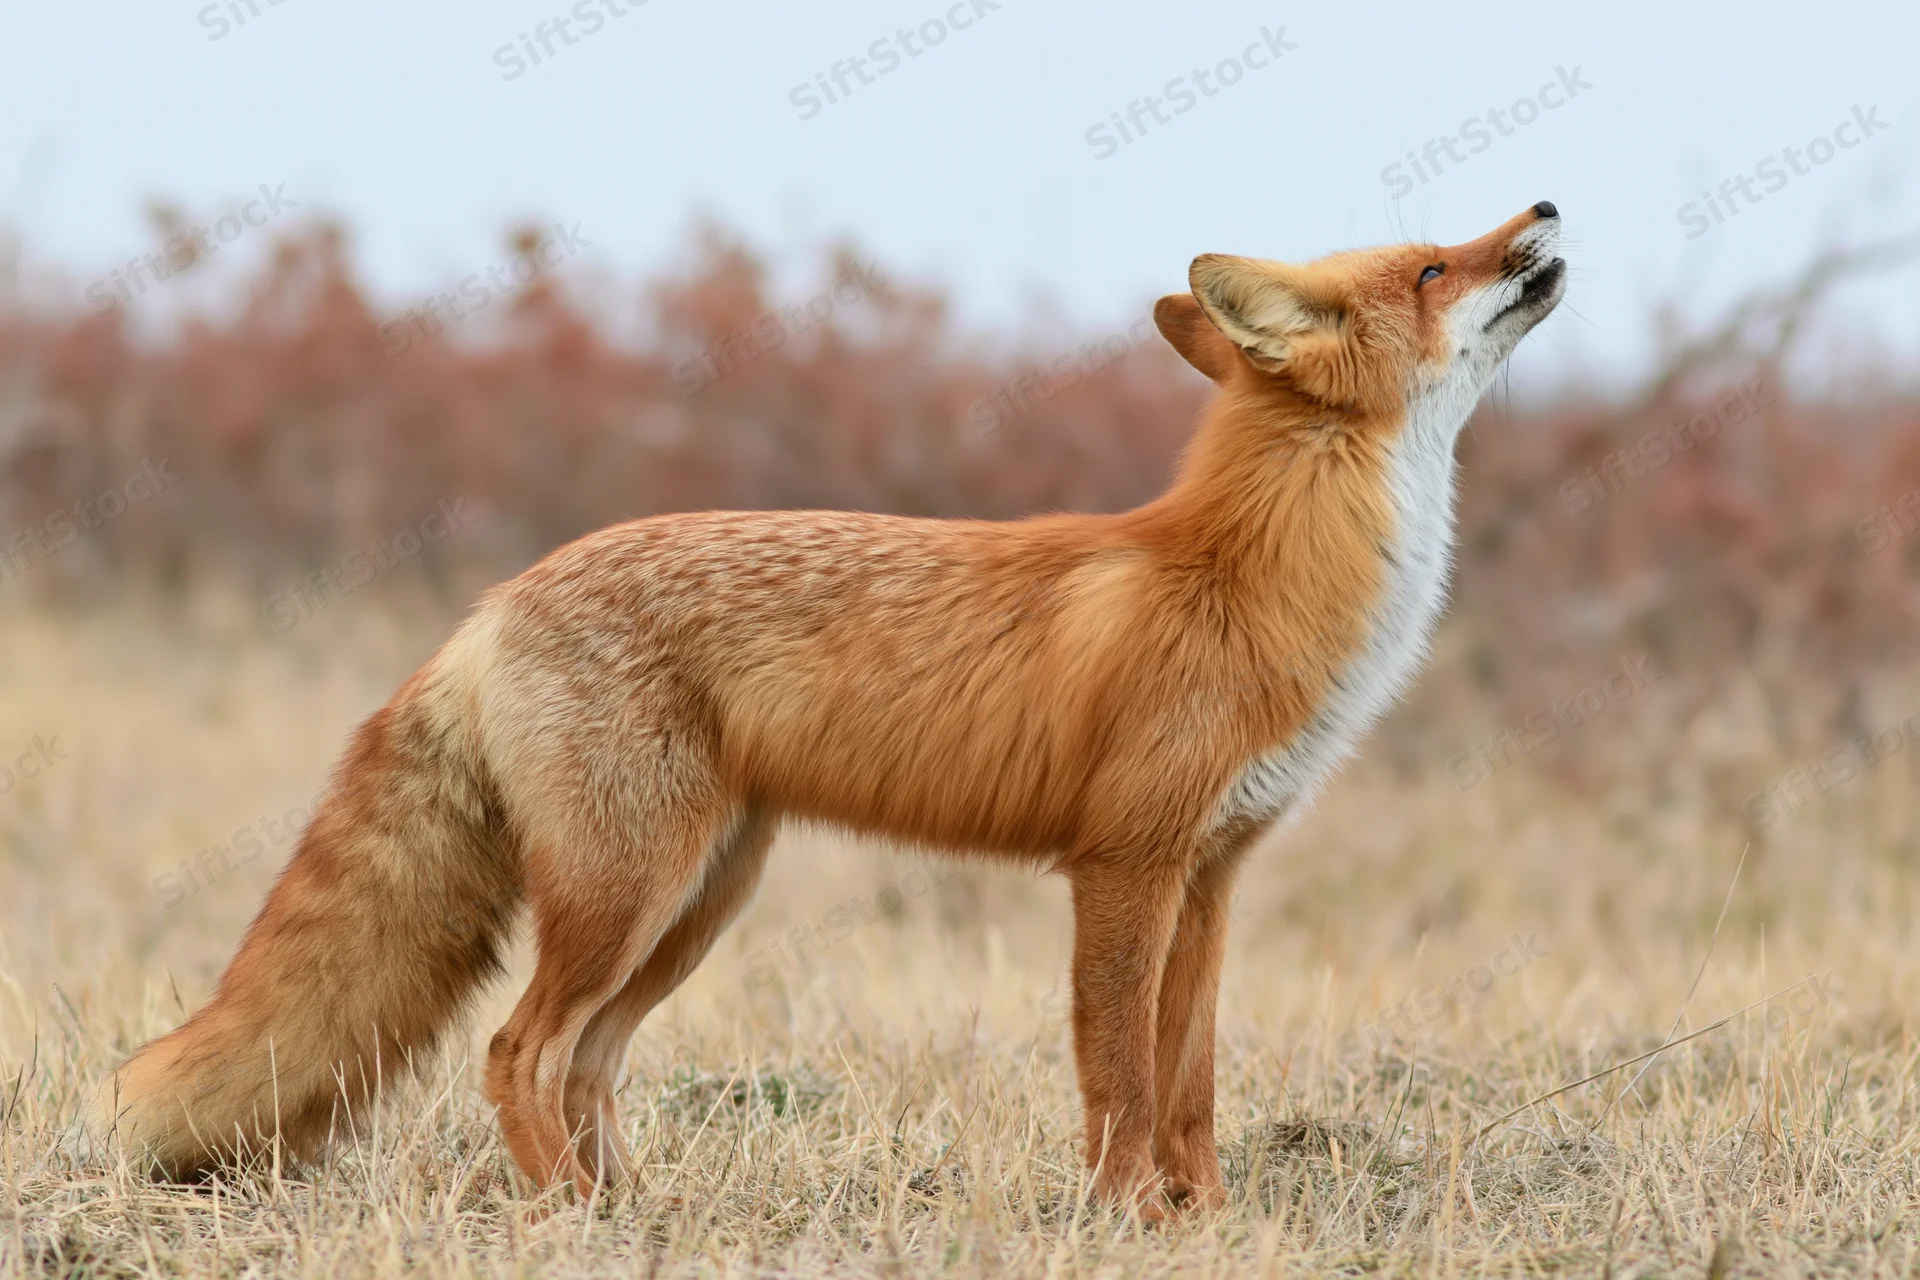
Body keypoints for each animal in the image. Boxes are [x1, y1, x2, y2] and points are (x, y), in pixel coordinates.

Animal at [99, 203, 1567, 1216]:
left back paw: (634, 1213)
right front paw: (1122, 1218)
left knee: (585, 1064)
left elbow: (1191, 1085)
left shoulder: (1210, 876)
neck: (1243, 575)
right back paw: (566, 1214)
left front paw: (1200, 1219)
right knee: (518, 1051)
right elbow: (1121, 1077)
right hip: (628, 895)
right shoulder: (1123, 866)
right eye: (1433, 268)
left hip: (695, 905)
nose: (1546, 209)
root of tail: (493, 602)